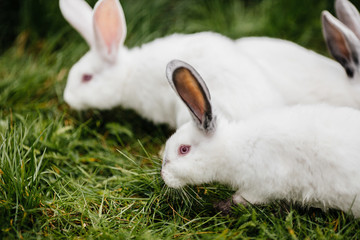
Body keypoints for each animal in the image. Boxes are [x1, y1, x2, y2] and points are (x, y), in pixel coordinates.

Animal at [162, 60, 360, 218]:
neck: (233, 148)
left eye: (184, 149)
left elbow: (244, 197)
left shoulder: (265, 185)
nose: (163, 176)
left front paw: (221, 206)